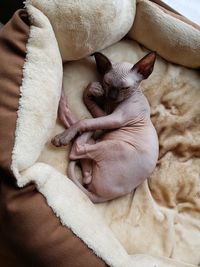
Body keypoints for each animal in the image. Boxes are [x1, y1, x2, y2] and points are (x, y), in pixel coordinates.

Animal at [52, 51, 159, 204]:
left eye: (125, 88)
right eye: (107, 83)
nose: (111, 96)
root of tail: (100, 197)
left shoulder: (116, 118)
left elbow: (85, 122)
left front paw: (66, 135)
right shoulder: (106, 113)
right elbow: (91, 110)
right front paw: (92, 90)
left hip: (115, 146)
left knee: (77, 149)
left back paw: (67, 135)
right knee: (86, 174)